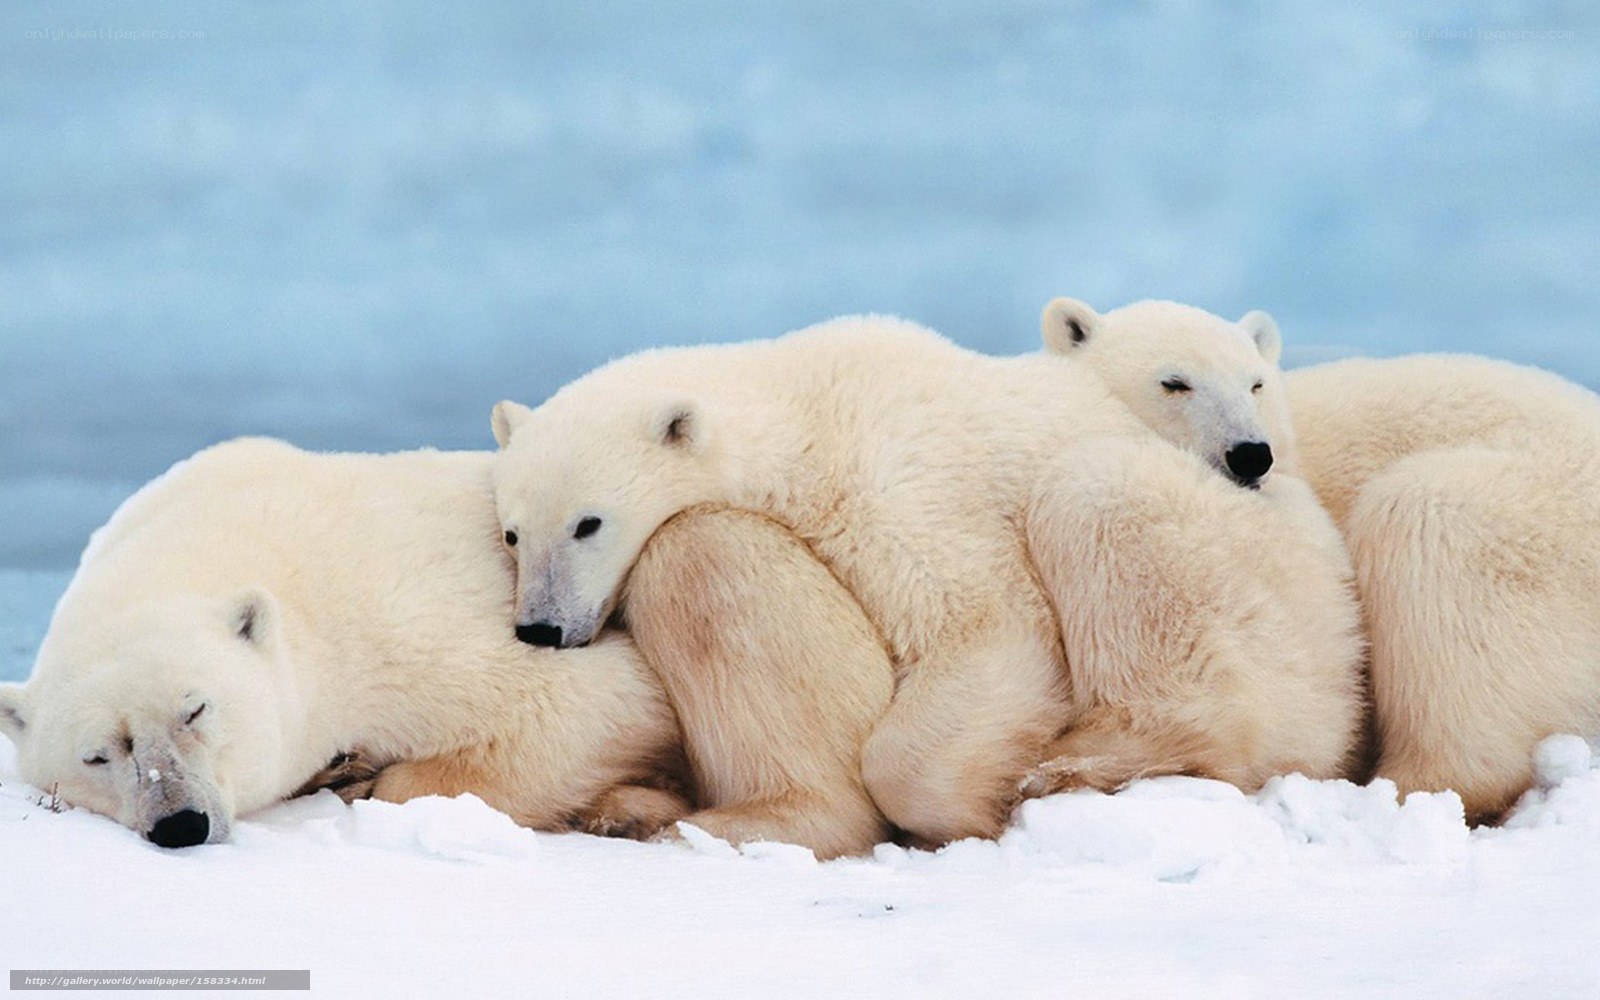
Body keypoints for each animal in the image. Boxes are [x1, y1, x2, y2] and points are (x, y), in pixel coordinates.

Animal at [0, 438, 894, 857]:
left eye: (196, 709)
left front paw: (368, 775)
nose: (179, 822)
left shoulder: (395, 619)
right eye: (98, 755)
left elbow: (591, 701)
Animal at [489, 314, 1367, 845]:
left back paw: (1083, 764)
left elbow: (985, 627)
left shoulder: (897, 482)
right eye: (512, 532)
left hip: (1253, 579)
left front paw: (971, 808)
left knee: (1098, 499)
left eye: (588, 522)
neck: (806, 407)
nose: (541, 627)